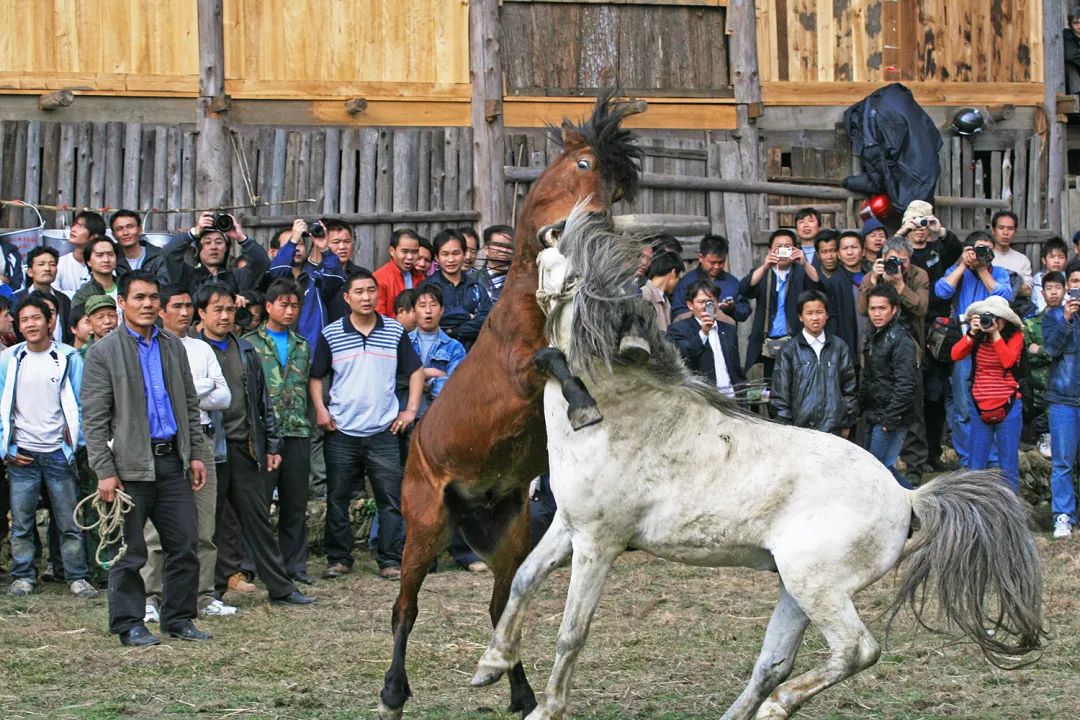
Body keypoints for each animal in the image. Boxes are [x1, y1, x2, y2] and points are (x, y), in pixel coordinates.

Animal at [380, 92, 639, 716]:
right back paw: (393, 693)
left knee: (502, 606)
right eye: (583, 165)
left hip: (508, 530)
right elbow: (552, 359)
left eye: (616, 189)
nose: (591, 223)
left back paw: (520, 692)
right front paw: (582, 406)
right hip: (426, 523)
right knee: (406, 608)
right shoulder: (520, 373)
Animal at [475, 211, 1045, 720]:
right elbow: (522, 579)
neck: (613, 413)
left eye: (552, 260)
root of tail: (907, 496)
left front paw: (546, 709)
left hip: (816, 586)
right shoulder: (567, 528)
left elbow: (572, 632)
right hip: (794, 588)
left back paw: (778, 706)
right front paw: (491, 665)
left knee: (855, 650)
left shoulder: (599, 542)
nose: (542, 234)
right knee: (774, 661)